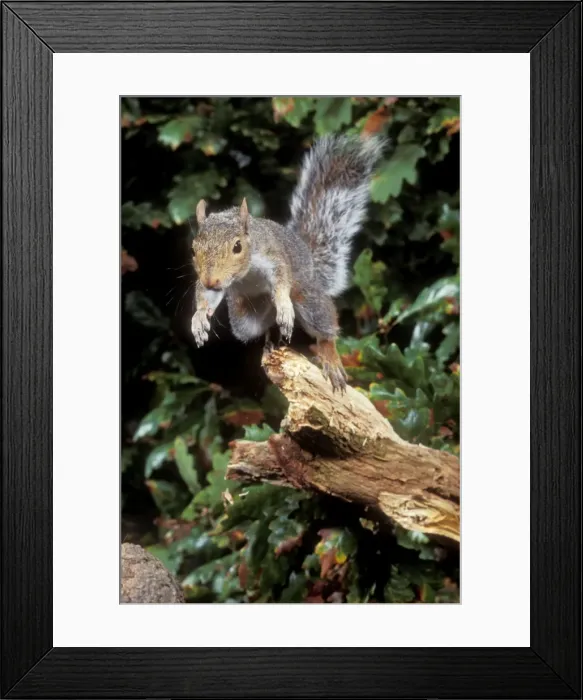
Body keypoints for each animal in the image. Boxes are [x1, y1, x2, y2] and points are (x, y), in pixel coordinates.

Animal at [190, 133, 384, 391]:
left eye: (237, 247)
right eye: (193, 249)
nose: (211, 281)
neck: (245, 271)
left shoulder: (274, 256)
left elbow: (282, 279)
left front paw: (282, 303)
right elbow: (205, 296)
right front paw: (199, 317)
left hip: (308, 297)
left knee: (324, 325)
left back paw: (328, 355)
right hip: (245, 319)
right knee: (259, 326)